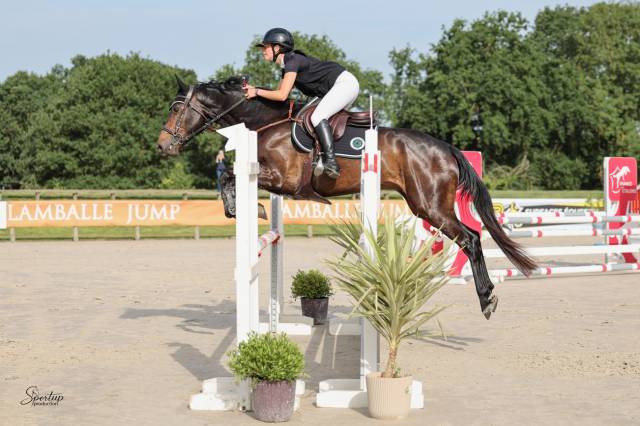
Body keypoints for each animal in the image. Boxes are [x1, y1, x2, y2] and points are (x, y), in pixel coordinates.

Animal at [157, 76, 537, 319]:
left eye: (176, 108)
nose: (163, 146)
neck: (267, 122)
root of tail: (446, 148)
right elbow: (230, 178)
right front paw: (245, 208)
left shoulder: (283, 180)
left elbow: (230, 176)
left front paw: (247, 208)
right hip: (423, 205)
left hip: (430, 205)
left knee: (470, 238)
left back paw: (487, 299)